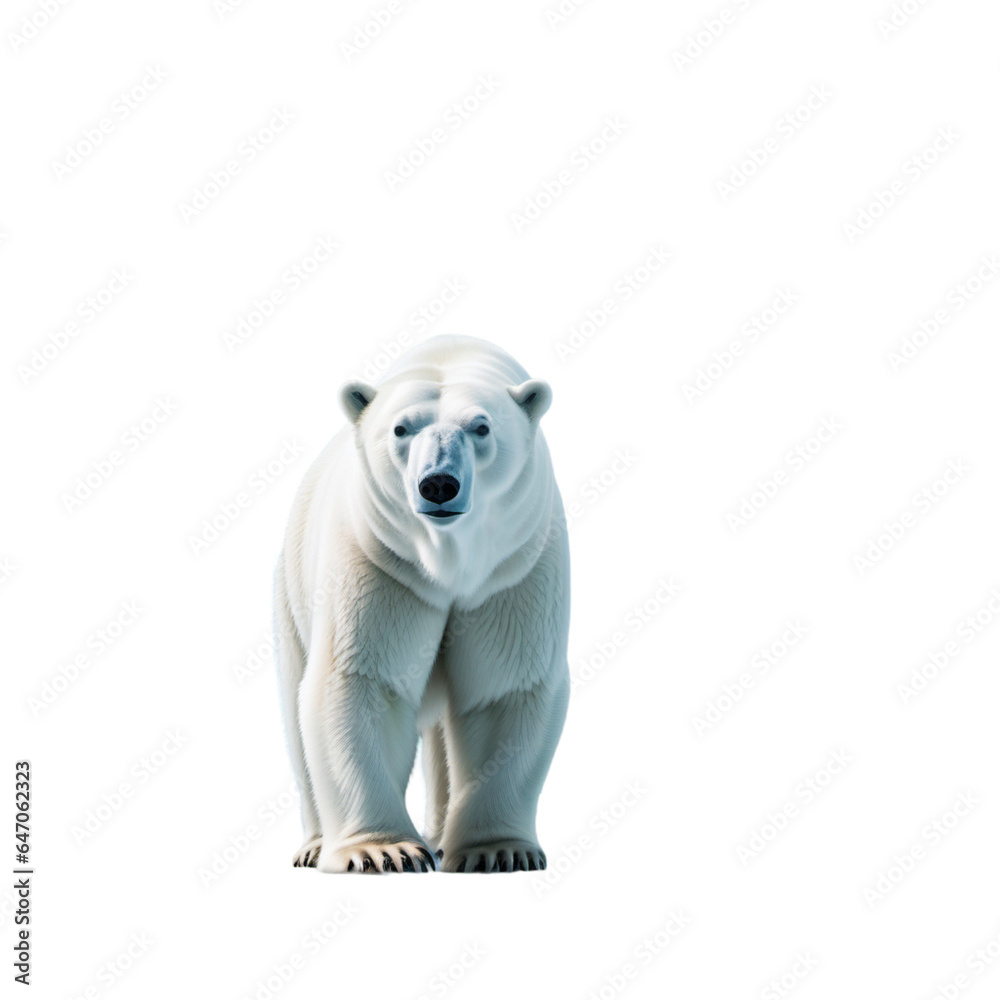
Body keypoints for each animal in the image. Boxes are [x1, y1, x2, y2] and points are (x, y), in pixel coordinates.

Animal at [273, 335, 570, 873]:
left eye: (481, 427)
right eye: (400, 428)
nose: (438, 484)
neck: (448, 559)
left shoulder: (515, 566)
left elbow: (503, 687)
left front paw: (497, 850)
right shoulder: (381, 559)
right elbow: (362, 678)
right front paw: (382, 851)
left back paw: (438, 836)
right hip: (290, 592)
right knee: (295, 707)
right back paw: (315, 846)